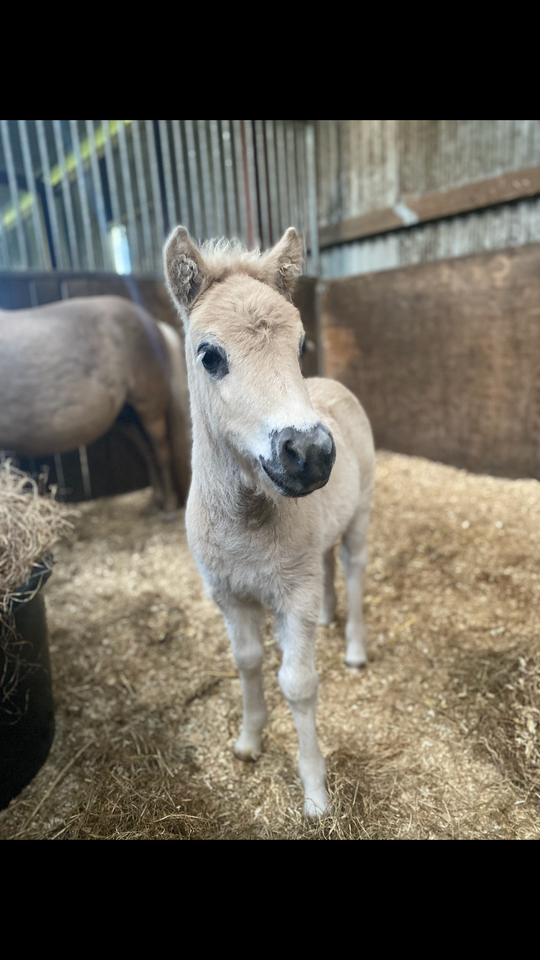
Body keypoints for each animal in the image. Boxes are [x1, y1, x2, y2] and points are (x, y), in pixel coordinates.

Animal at [0, 296, 190, 516]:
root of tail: (155, 324)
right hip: (128, 417)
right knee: (148, 453)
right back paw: (154, 504)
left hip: (149, 411)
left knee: (160, 452)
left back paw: (169, 506)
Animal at [166, 227, 376, 816]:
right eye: (209, 354)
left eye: (300, 344)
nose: (309, 454)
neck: (246, 523)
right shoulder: (228, 594)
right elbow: (248, 661)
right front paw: (248, 741)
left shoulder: (291, 595)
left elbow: (299, 684)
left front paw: (316, 794)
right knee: (327, 565)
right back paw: (328, 620)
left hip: (360, 516)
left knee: (352, 568)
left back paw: (353, 647)